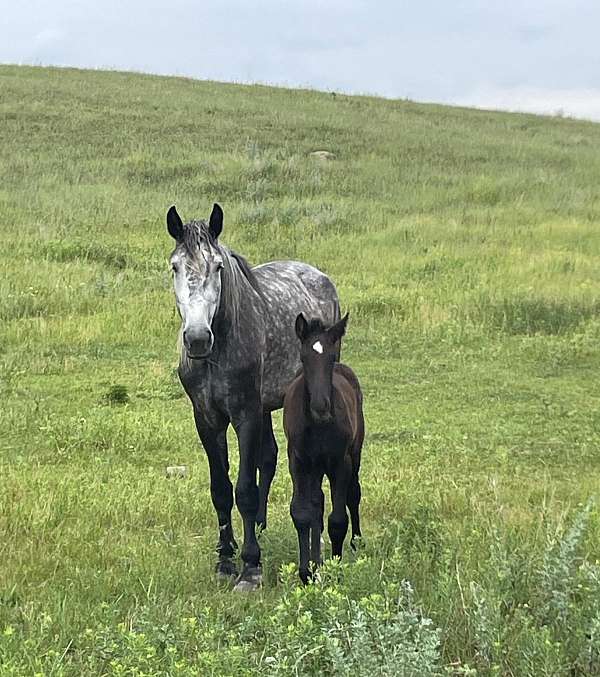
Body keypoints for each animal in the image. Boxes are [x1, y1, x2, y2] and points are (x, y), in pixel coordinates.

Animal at [166, 203, 340, 591]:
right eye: (174, 266)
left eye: (218, 266)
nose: (197, 338)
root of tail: (317, 274)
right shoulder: (207, 418)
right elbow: (220, 488)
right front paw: (225, 558)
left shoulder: (244, 415)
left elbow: (243, 489)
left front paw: (250, 567)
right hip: (264, 406)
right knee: (269, 457)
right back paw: (259, 526)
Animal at [283, 312, 364, 583]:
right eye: (304, 357)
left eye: (330, 357)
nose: (321, 407)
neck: (317, 426)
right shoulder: (297, 461)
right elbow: (302, 513)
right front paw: (307, 572)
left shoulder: (340, 463)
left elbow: (338, 520)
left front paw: (335, 570)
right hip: (315, 467)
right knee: (316, 503)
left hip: (354, 454)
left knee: (353, 494)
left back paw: (357, 542)